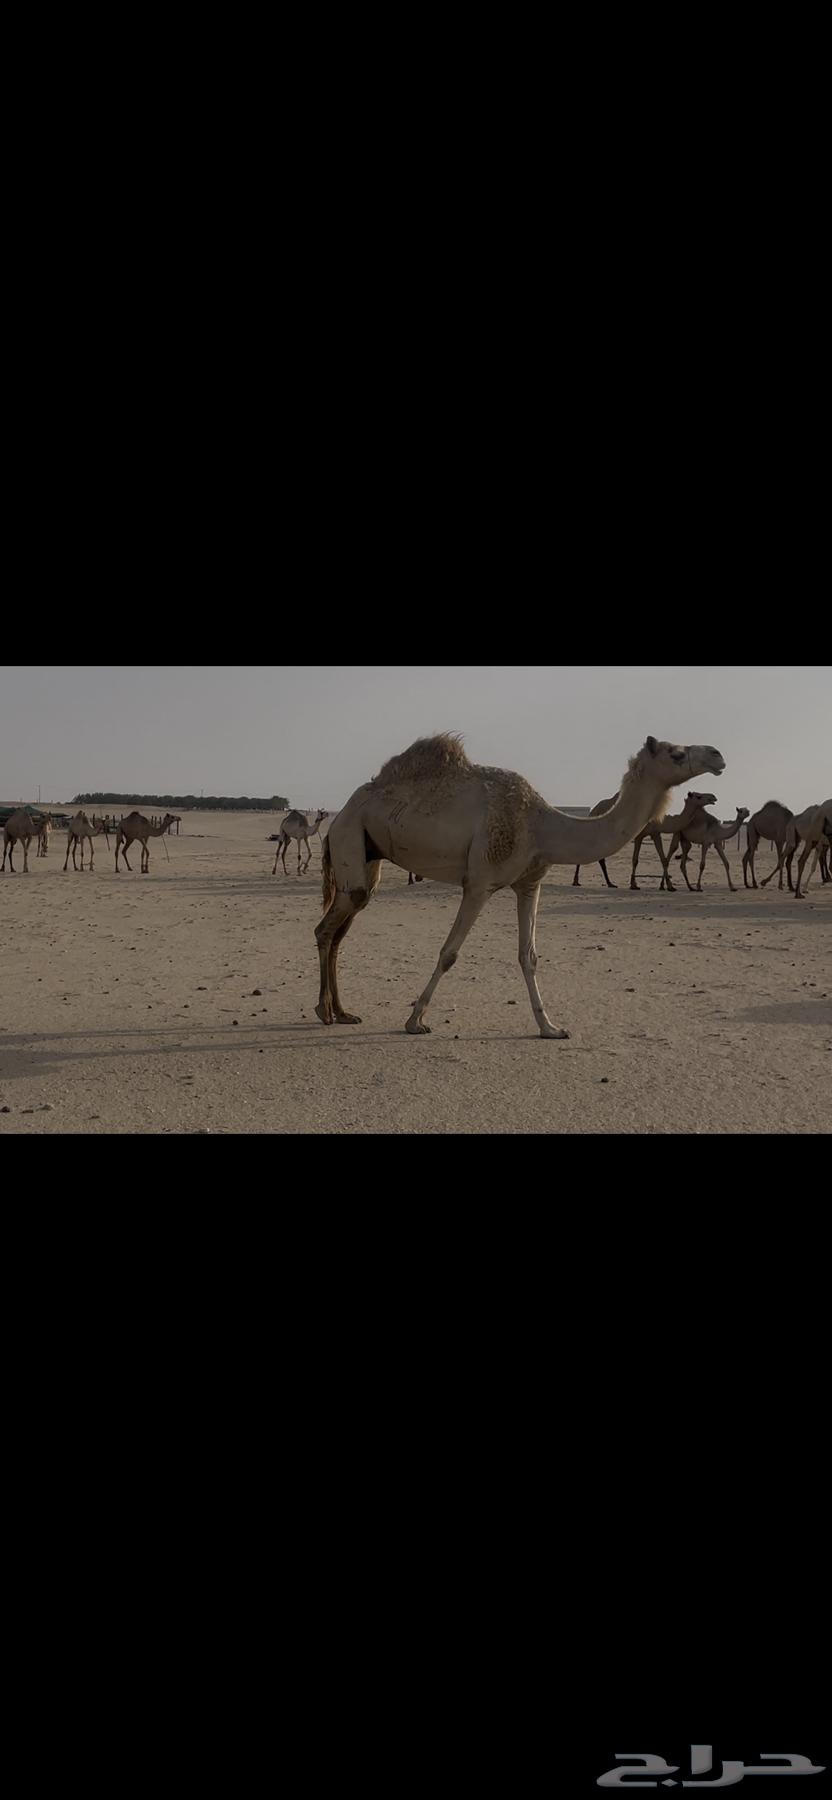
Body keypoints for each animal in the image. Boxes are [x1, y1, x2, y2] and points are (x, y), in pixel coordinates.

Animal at [314, 732, 725, 1038]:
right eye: (676, 753)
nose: (718, 755)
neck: (542, 825)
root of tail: (338, 817)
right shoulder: (479, 882)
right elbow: (449, 953)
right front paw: (415, 1020)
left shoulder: (530, 884)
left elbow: (529, 956)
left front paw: (550, 1027)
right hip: (350, 836)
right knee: (326, 929)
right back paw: (324, 1011)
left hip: (367, 855)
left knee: (341, 927)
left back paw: (342, 1011)